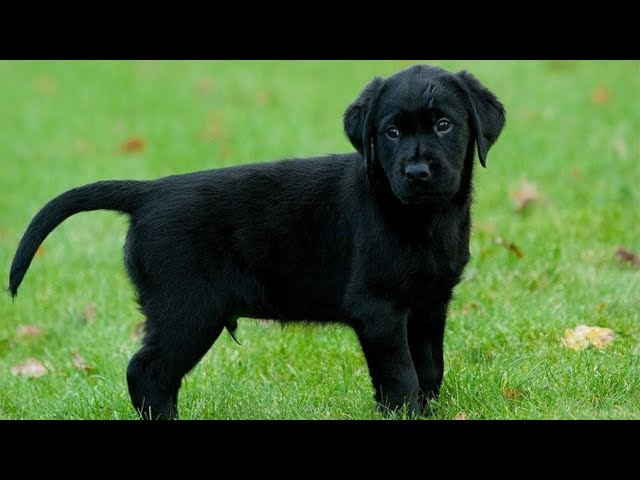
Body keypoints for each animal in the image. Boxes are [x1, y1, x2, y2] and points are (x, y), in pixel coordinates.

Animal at [6, 65, 504, 418]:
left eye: (443, 125)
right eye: (392, 131)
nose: (417, 173)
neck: (420, 219)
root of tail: (149, 192)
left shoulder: (430, 304)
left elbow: (429, 369)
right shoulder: (379, 309)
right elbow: (401, 378)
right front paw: (405, 412)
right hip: (188, 310)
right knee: (146, 373)